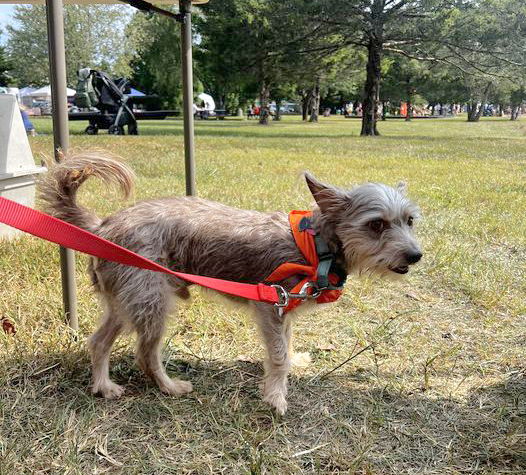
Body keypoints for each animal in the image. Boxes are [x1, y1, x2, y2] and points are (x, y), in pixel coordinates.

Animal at [39, 153, 422, 416]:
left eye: (409, 220)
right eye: (376, 224)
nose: (416, 255)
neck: (314, 244)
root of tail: (103, 226)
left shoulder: (284, 311)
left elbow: (285, 347)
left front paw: (288, 373)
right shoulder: (270, 306)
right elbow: (278, 356)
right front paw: (276, 398)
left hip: (126, 302)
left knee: (99, 342)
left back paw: (104, 386)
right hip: (152, 304)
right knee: (146, 354)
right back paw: (169, 387)